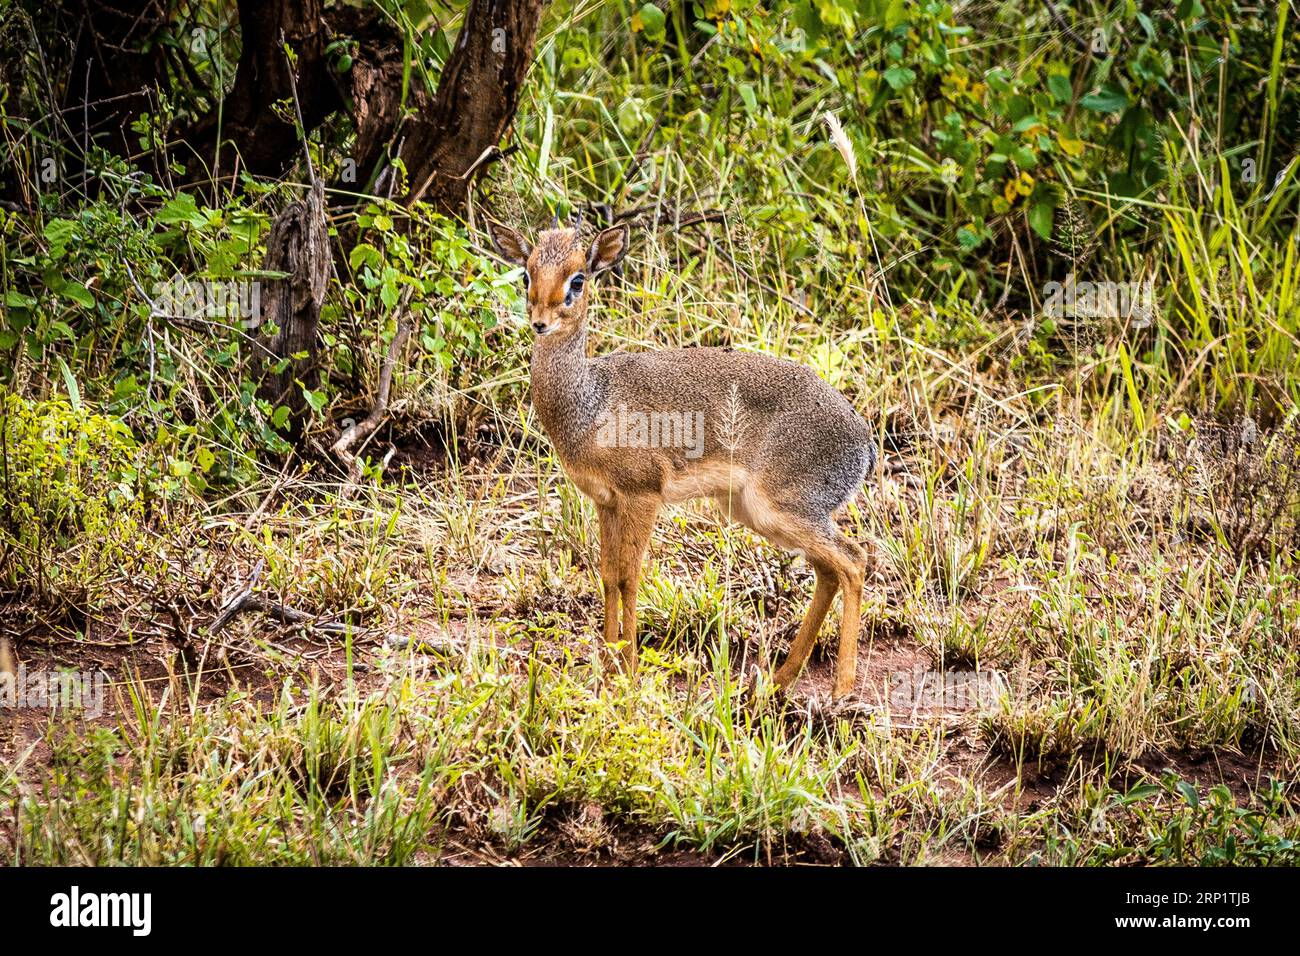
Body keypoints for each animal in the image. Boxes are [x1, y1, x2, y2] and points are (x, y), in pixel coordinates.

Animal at [491, 217, 878, 697]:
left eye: (577, 279)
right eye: (526, 274)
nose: (539, 322)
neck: (590, 401)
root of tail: (864, 440)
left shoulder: (643, 495)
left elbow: (629, 576)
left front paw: (629, 670)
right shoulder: (605, 501)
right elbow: (607, 576)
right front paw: (607, 667)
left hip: (785, 508)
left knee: (854, 560)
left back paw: (842, 689)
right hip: (762, 513)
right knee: (828, 571)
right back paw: (778, 680)